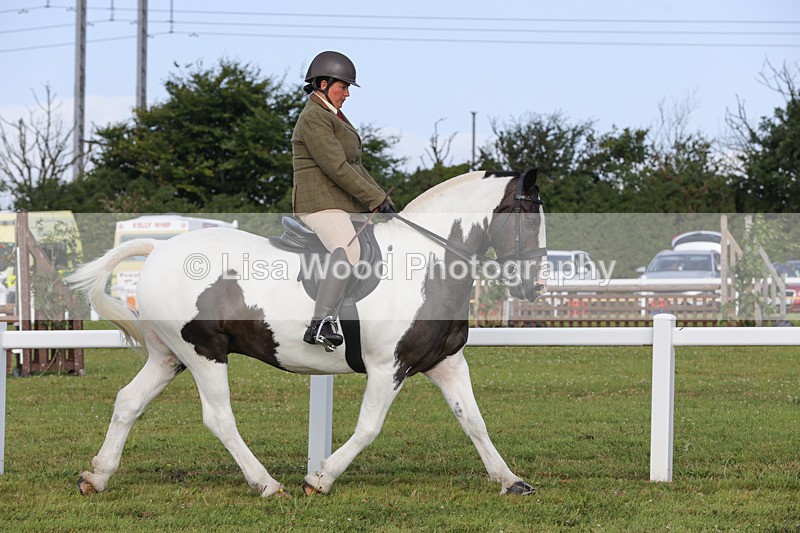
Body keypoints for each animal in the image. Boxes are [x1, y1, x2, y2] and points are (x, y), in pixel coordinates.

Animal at [66, 168, 547, 497]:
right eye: (527, 217)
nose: (534, 288)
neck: (427, 263)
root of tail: (159, 248)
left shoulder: (444, 361)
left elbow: (474, 421)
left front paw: (510, 480)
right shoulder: (387, 367)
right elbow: (368, 428)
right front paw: (320, 478)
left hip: (169, 356)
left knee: (129, 401)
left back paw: (97, 475)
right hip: (204, 352)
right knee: (219, 418)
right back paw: (265, 484)